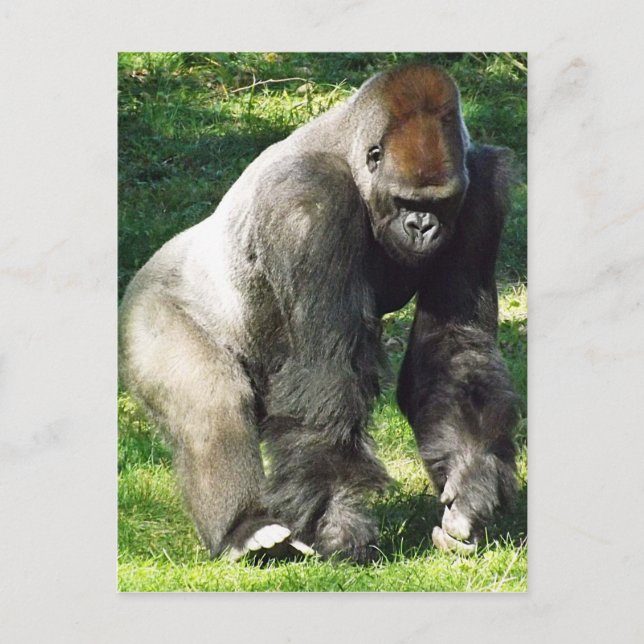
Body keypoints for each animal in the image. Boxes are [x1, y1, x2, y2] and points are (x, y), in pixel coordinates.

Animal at [119, 64, 517, 562]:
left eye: (438, 204)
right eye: (406, 202)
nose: (423, 228)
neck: (350, 152)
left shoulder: (480, 191)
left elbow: (454, 349)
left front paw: (470, 484)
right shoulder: (309, 202)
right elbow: (324, 370)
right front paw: (338, 520)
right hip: (149, 314)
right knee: (210, 403)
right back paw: (244, 528)